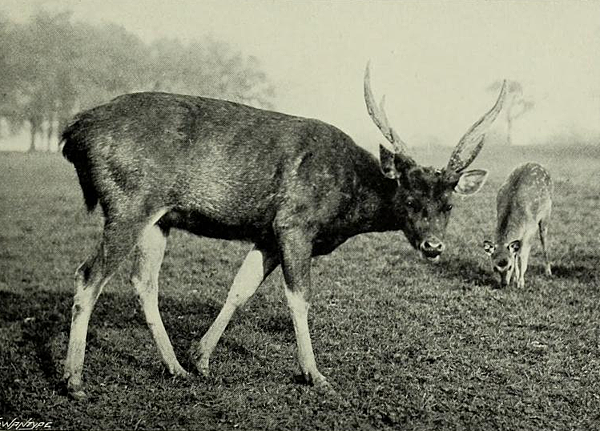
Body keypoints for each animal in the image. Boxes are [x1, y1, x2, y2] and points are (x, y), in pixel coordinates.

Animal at [61, 65, 506, 402]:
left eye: (449, 204)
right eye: (410, 200)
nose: (434, 245)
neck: (346, 205)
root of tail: (74, 132)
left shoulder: (267, 234)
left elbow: (240, 289)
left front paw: (200, 359)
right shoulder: (294, 224)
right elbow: (299, 297)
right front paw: (314, 373)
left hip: (158, 220)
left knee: (143, 282)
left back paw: (174, 368)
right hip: (128, 203)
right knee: (89, 275)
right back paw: (75, 381)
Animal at [482, 162, 552, 290]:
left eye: (509, 267)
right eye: (495, 268)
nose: (504, 284)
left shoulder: (530, 229)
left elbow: (521, 256)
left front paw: (521, 283)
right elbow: (515, 254)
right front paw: (515, 279)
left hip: (547, 213)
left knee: (544, 240)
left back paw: (548, 272)